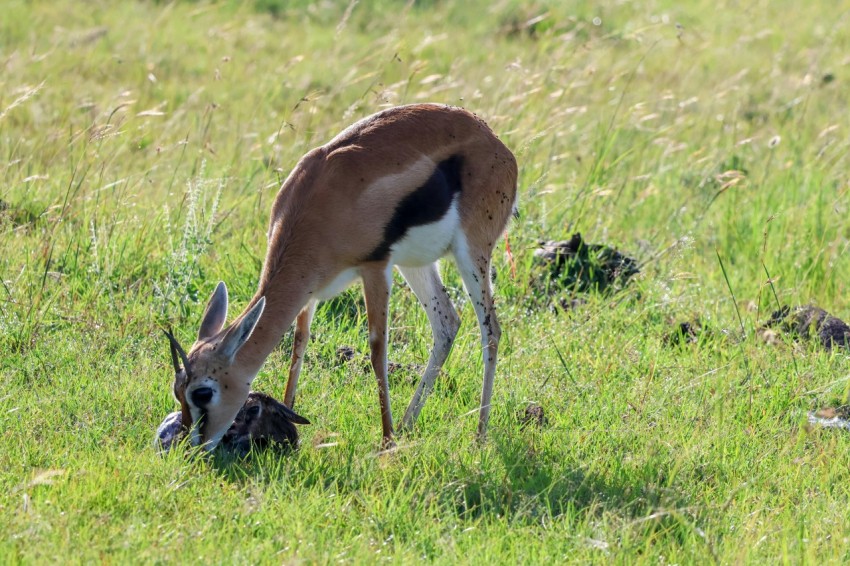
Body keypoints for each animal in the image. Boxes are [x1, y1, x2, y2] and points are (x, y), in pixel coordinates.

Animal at [164, 103, 518, 450]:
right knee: (447, 324)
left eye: (203, 392)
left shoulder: (375, 267)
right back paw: (408, 424)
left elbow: (377, 349)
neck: (316, 206)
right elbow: (299, 342)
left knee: (491, 330)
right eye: (177, 390)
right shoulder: (309, 289)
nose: (189, 446)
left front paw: (386, 441)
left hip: (471, 253)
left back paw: (478, 435)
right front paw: (287, 412)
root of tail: (493, 140)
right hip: (415, 263)